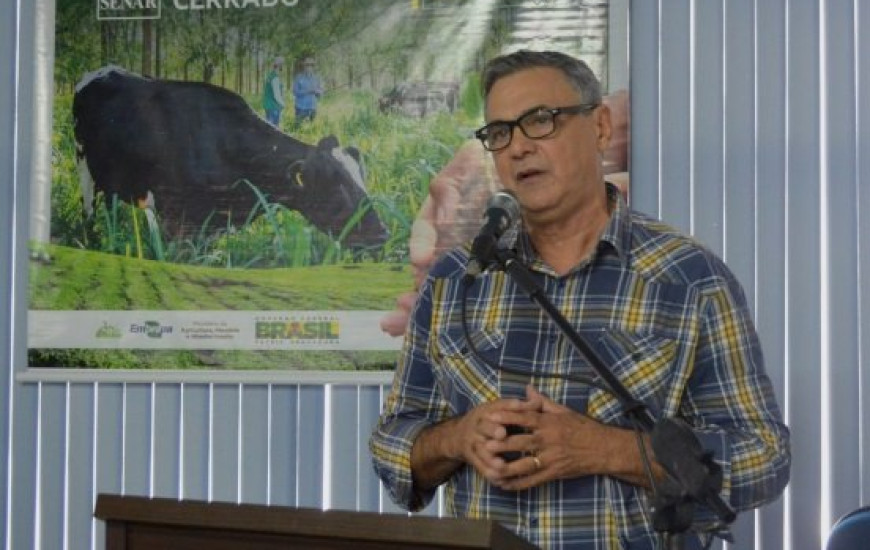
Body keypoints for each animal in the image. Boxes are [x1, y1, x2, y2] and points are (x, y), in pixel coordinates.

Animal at [73, 66, 390, 251]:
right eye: (337, 189)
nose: (382, 235)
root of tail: (105, 70)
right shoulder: (174, 219)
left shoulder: (211, 225)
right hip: (82, 165)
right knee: (88, 206)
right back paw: (91, 238)